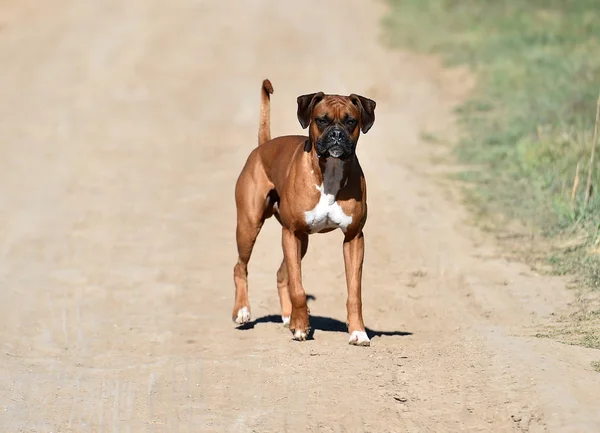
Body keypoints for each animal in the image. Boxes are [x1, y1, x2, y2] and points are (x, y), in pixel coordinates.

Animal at [233, 79, 376, 346]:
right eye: (322, 120)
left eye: (351, 121)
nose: (337, 134)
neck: (329, 171)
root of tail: (263, 145)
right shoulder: (291, 233)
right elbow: (298, 289)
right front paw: (301, 327)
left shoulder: (353, 238)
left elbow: (355, 292)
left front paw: (358, 331)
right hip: (250, 226)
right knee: (240, 267)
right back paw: (243, 311)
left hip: (302, 242)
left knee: (282, 275)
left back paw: (288, 316)